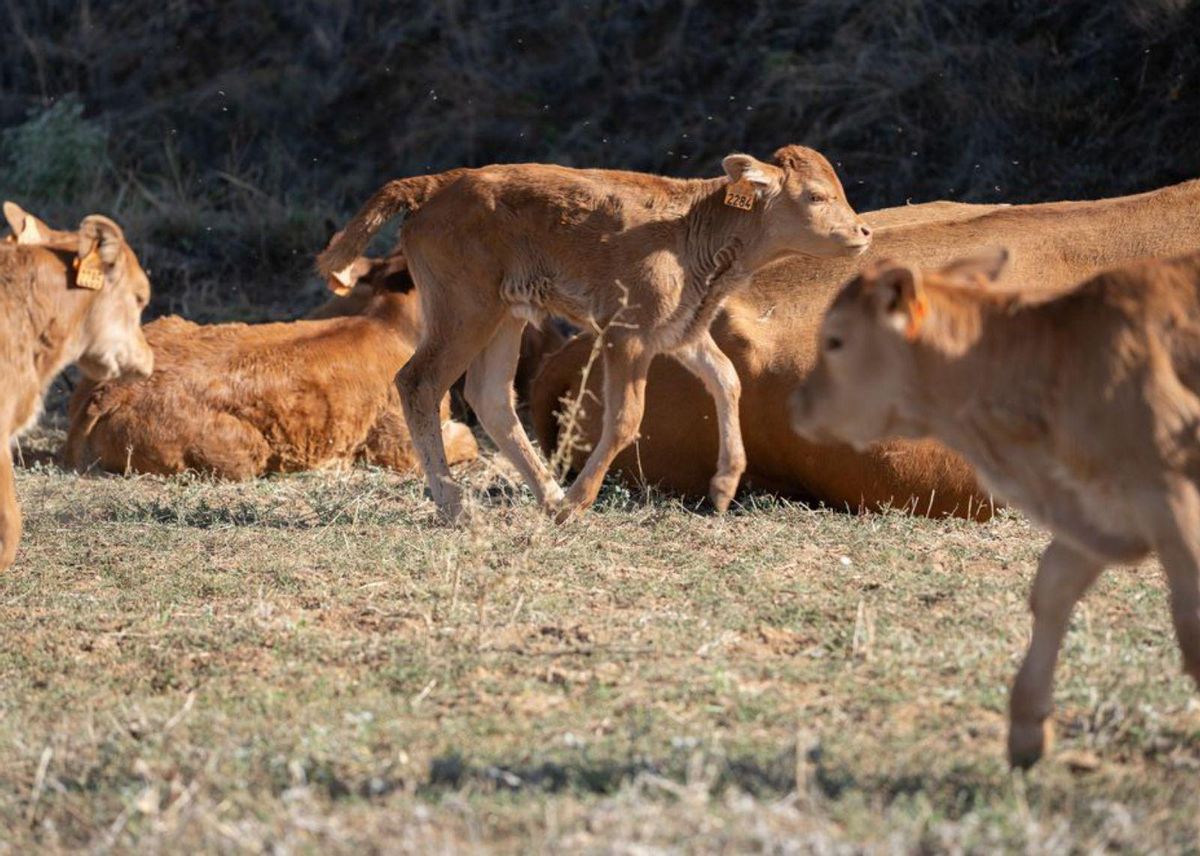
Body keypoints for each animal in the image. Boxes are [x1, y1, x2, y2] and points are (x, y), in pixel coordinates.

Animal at [314, 147, 868, 521]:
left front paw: (723, 488)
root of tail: (435, 185)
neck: (694, 227)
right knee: (420, 382)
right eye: (816, 196)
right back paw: (460, 507)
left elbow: (727, 379)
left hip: (506, 316)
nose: (863, 232)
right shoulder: (627, 338)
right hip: (465, 313)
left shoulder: (682, 334)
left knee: (490, 397)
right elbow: (625, 418)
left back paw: (547, 496)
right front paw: (580, 503)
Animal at [787, 248, 1200, 768]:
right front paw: (1026, 729)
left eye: (835, 340)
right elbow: (1051, 589)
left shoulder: (1171, 500)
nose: (798, 406)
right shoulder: (1099, 507)